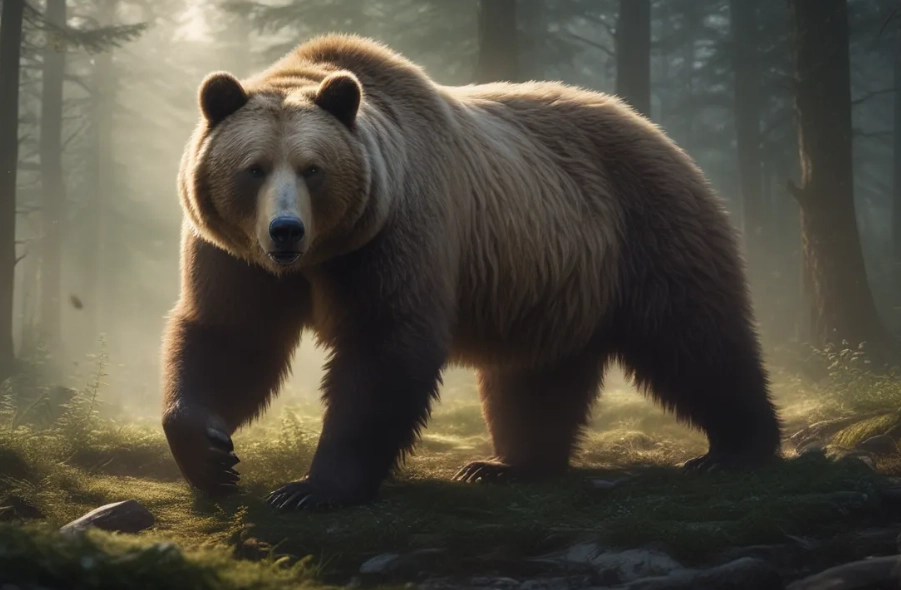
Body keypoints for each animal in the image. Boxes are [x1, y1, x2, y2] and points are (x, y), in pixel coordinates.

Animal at [161, 33, 782, 511]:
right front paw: (212, 455)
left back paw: (737, 449)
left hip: (645, 225)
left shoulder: (395, 233)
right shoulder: (236, 257)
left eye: (313, 169)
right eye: (254, 168)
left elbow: (384, 347)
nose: (285, 230)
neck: (320, 258)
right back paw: (508, 465)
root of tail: (654, 128)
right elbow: (230, 337)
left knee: (693, 337)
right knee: (537, 375)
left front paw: (312, 488)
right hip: (552, 278)